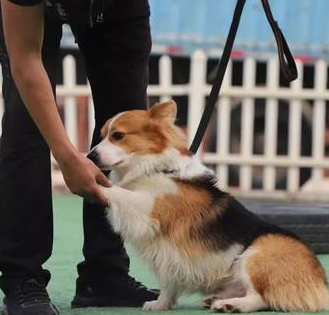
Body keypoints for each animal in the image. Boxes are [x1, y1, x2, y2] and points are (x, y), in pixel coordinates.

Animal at [88, 101, 328, 314]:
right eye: (102, 135)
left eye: (118, 136)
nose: (90, 156)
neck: (154, 167)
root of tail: (320, 282)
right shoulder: (168, 254)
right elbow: (168, 284)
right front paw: (160, 305)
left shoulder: (147, 209)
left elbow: (117, 191)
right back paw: (216, 299)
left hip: (256, 254)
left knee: (261, 298)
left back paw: (231, 305)